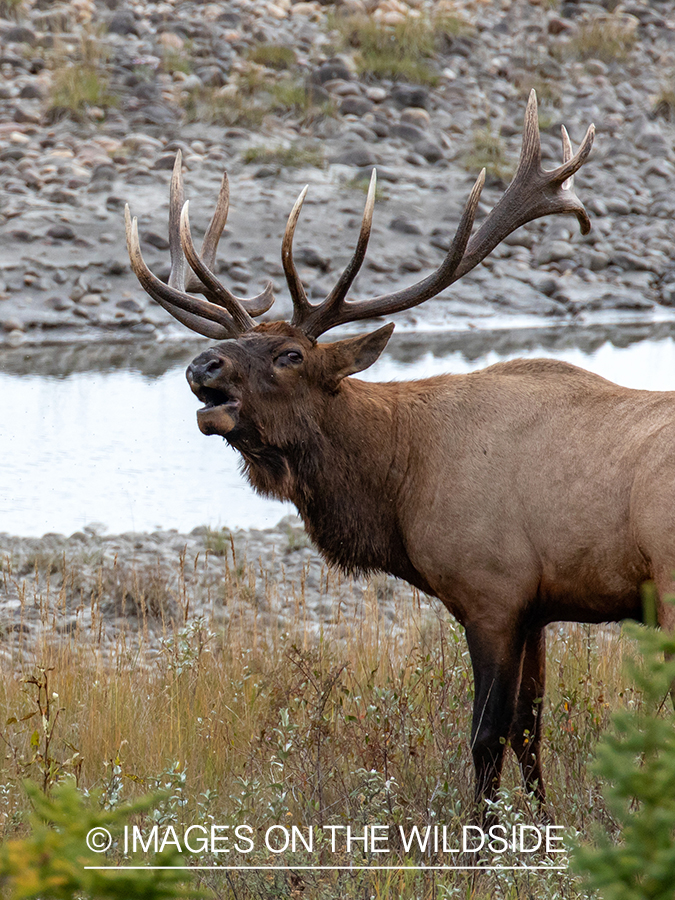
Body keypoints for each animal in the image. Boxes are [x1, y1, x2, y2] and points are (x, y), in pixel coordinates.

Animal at [125, 93, 672, 816]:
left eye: (290, 354)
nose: (200, 366)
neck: (402, 483)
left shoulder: (491, 592)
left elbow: (487, 736)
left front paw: (480, 839)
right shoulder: (536, 605)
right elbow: (532, 729)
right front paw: (545, 828)